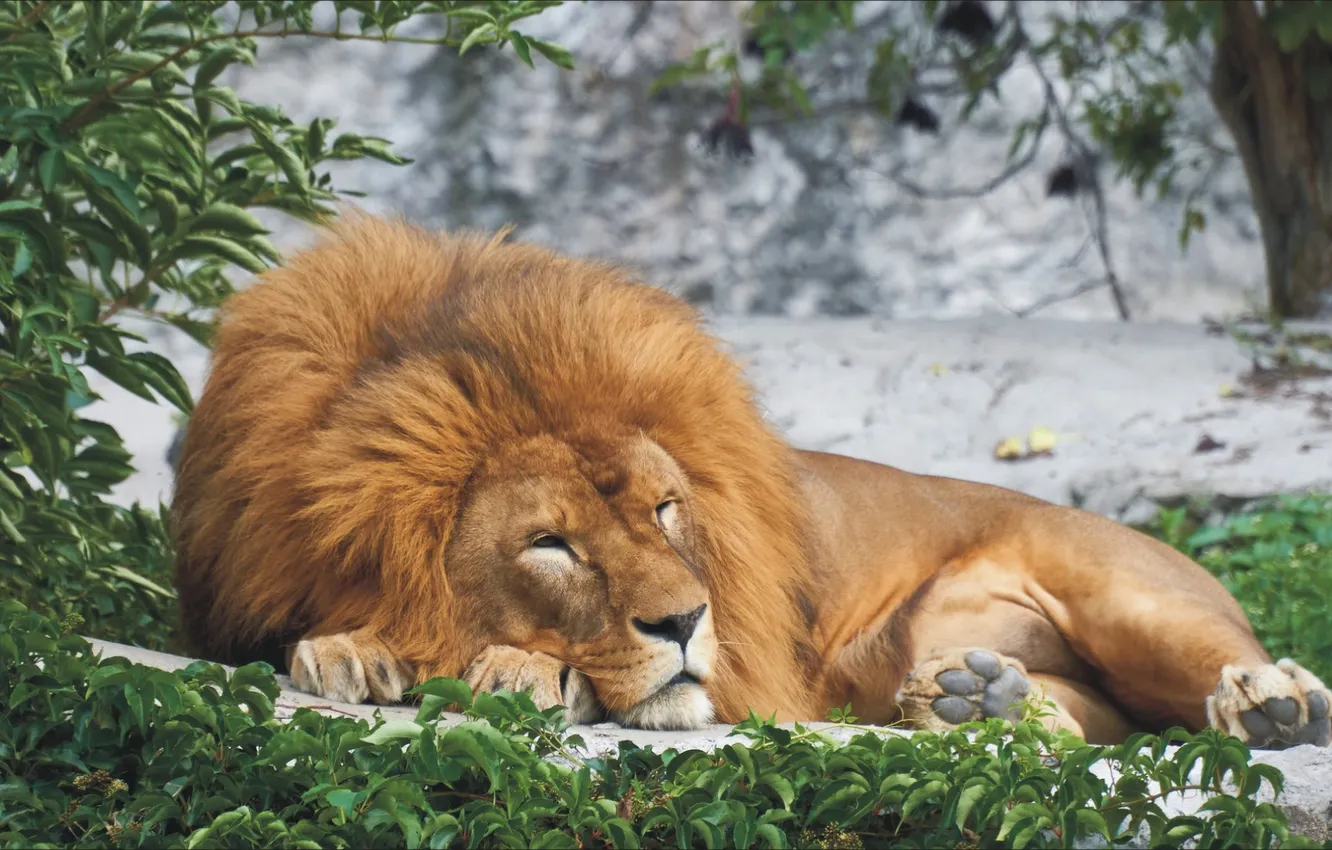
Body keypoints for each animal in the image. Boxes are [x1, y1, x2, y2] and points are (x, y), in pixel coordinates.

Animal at [171, 214, 1330, 748]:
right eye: (551, 544)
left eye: (664, 509)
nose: (688, 622)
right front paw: (348, 649)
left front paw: (522, 670)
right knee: (1095, 722)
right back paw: (979, 700)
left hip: (1127, 593)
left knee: (1227, 672)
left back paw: (1270, 703)